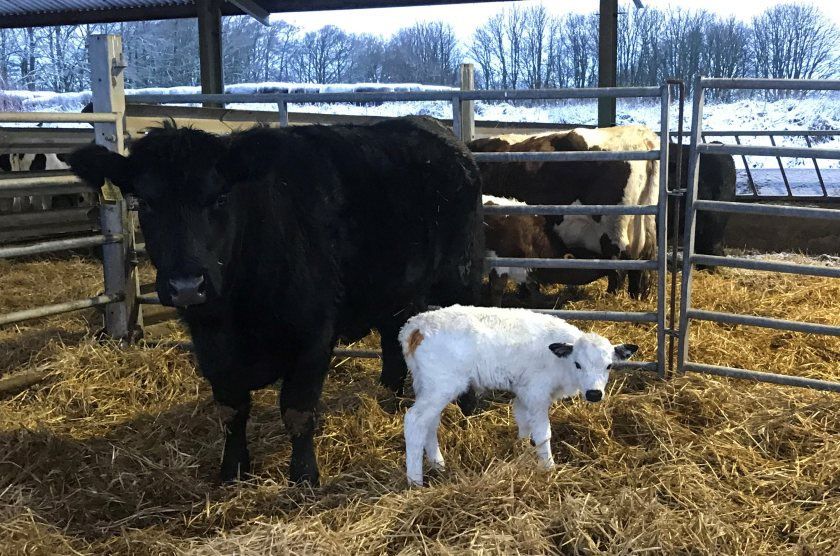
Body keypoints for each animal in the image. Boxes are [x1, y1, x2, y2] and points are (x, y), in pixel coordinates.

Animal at [67, 116, 484, 486]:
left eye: (220, 196)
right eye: (145, 203)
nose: (187, 285)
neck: (236, 314)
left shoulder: (314, 337)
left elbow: (298, 411)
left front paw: (304, 477)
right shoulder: (210, 345)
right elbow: (230, 411)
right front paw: (232, 471)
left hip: (461, 274)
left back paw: (468, 408)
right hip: (394, 287)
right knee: (392, 334)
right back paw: (388, 398)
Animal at [470, 125, 660, 299]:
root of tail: (643, 136)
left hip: (613, 231)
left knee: (619, 266)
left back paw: (611, 296)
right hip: (643, 226)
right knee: (641, 264)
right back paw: (637, 296)